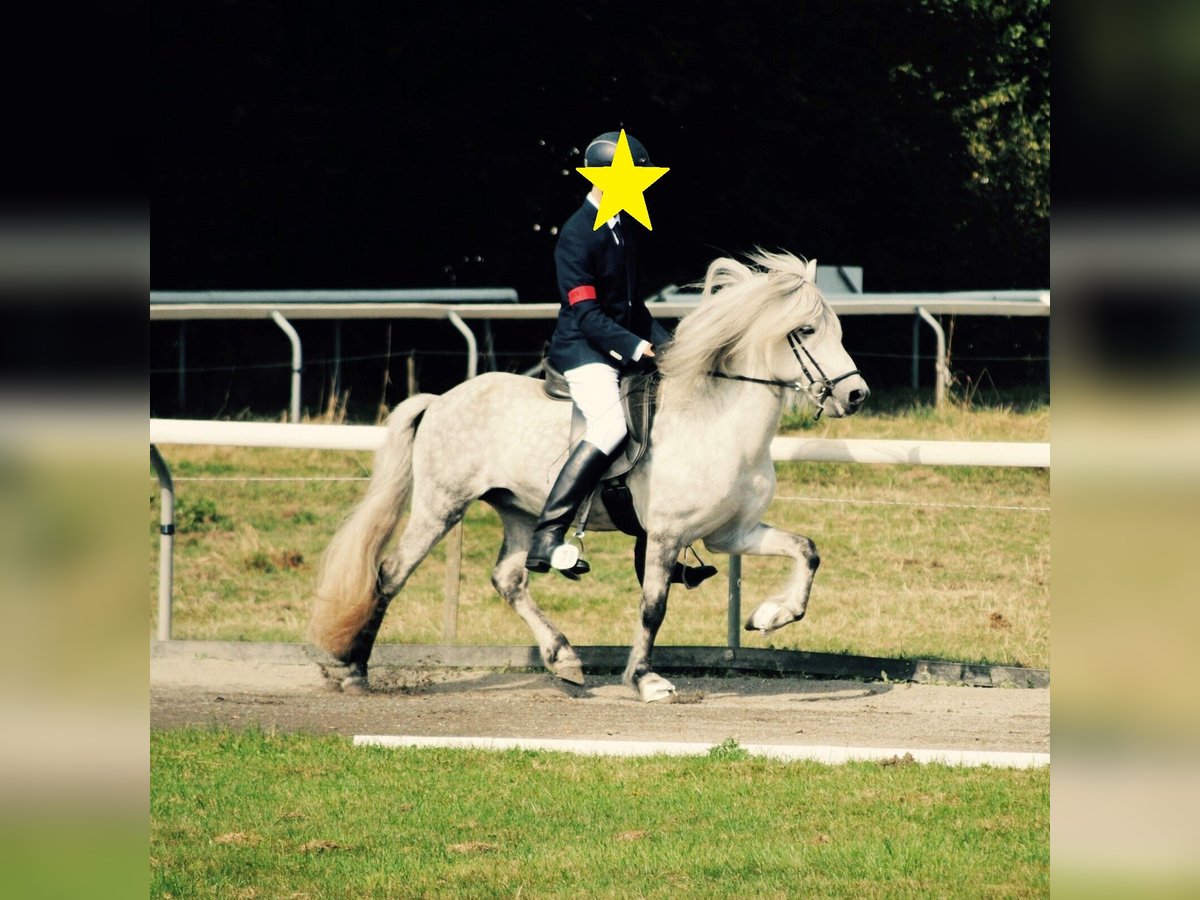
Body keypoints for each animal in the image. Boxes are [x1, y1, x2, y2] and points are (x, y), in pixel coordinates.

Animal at [314, 250, 868, 700]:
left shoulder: (729, 534)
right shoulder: (665, 535)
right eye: (806, 331)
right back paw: (354, 671)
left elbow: (807, 551)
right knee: (391, 573)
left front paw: (770, 615)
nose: (856, 395)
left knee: (509, 580)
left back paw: (564, 658)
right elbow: (653, 607)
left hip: (522, 511)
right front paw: (646, 680)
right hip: (441, 506)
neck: (717, 420)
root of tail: (441, 399)